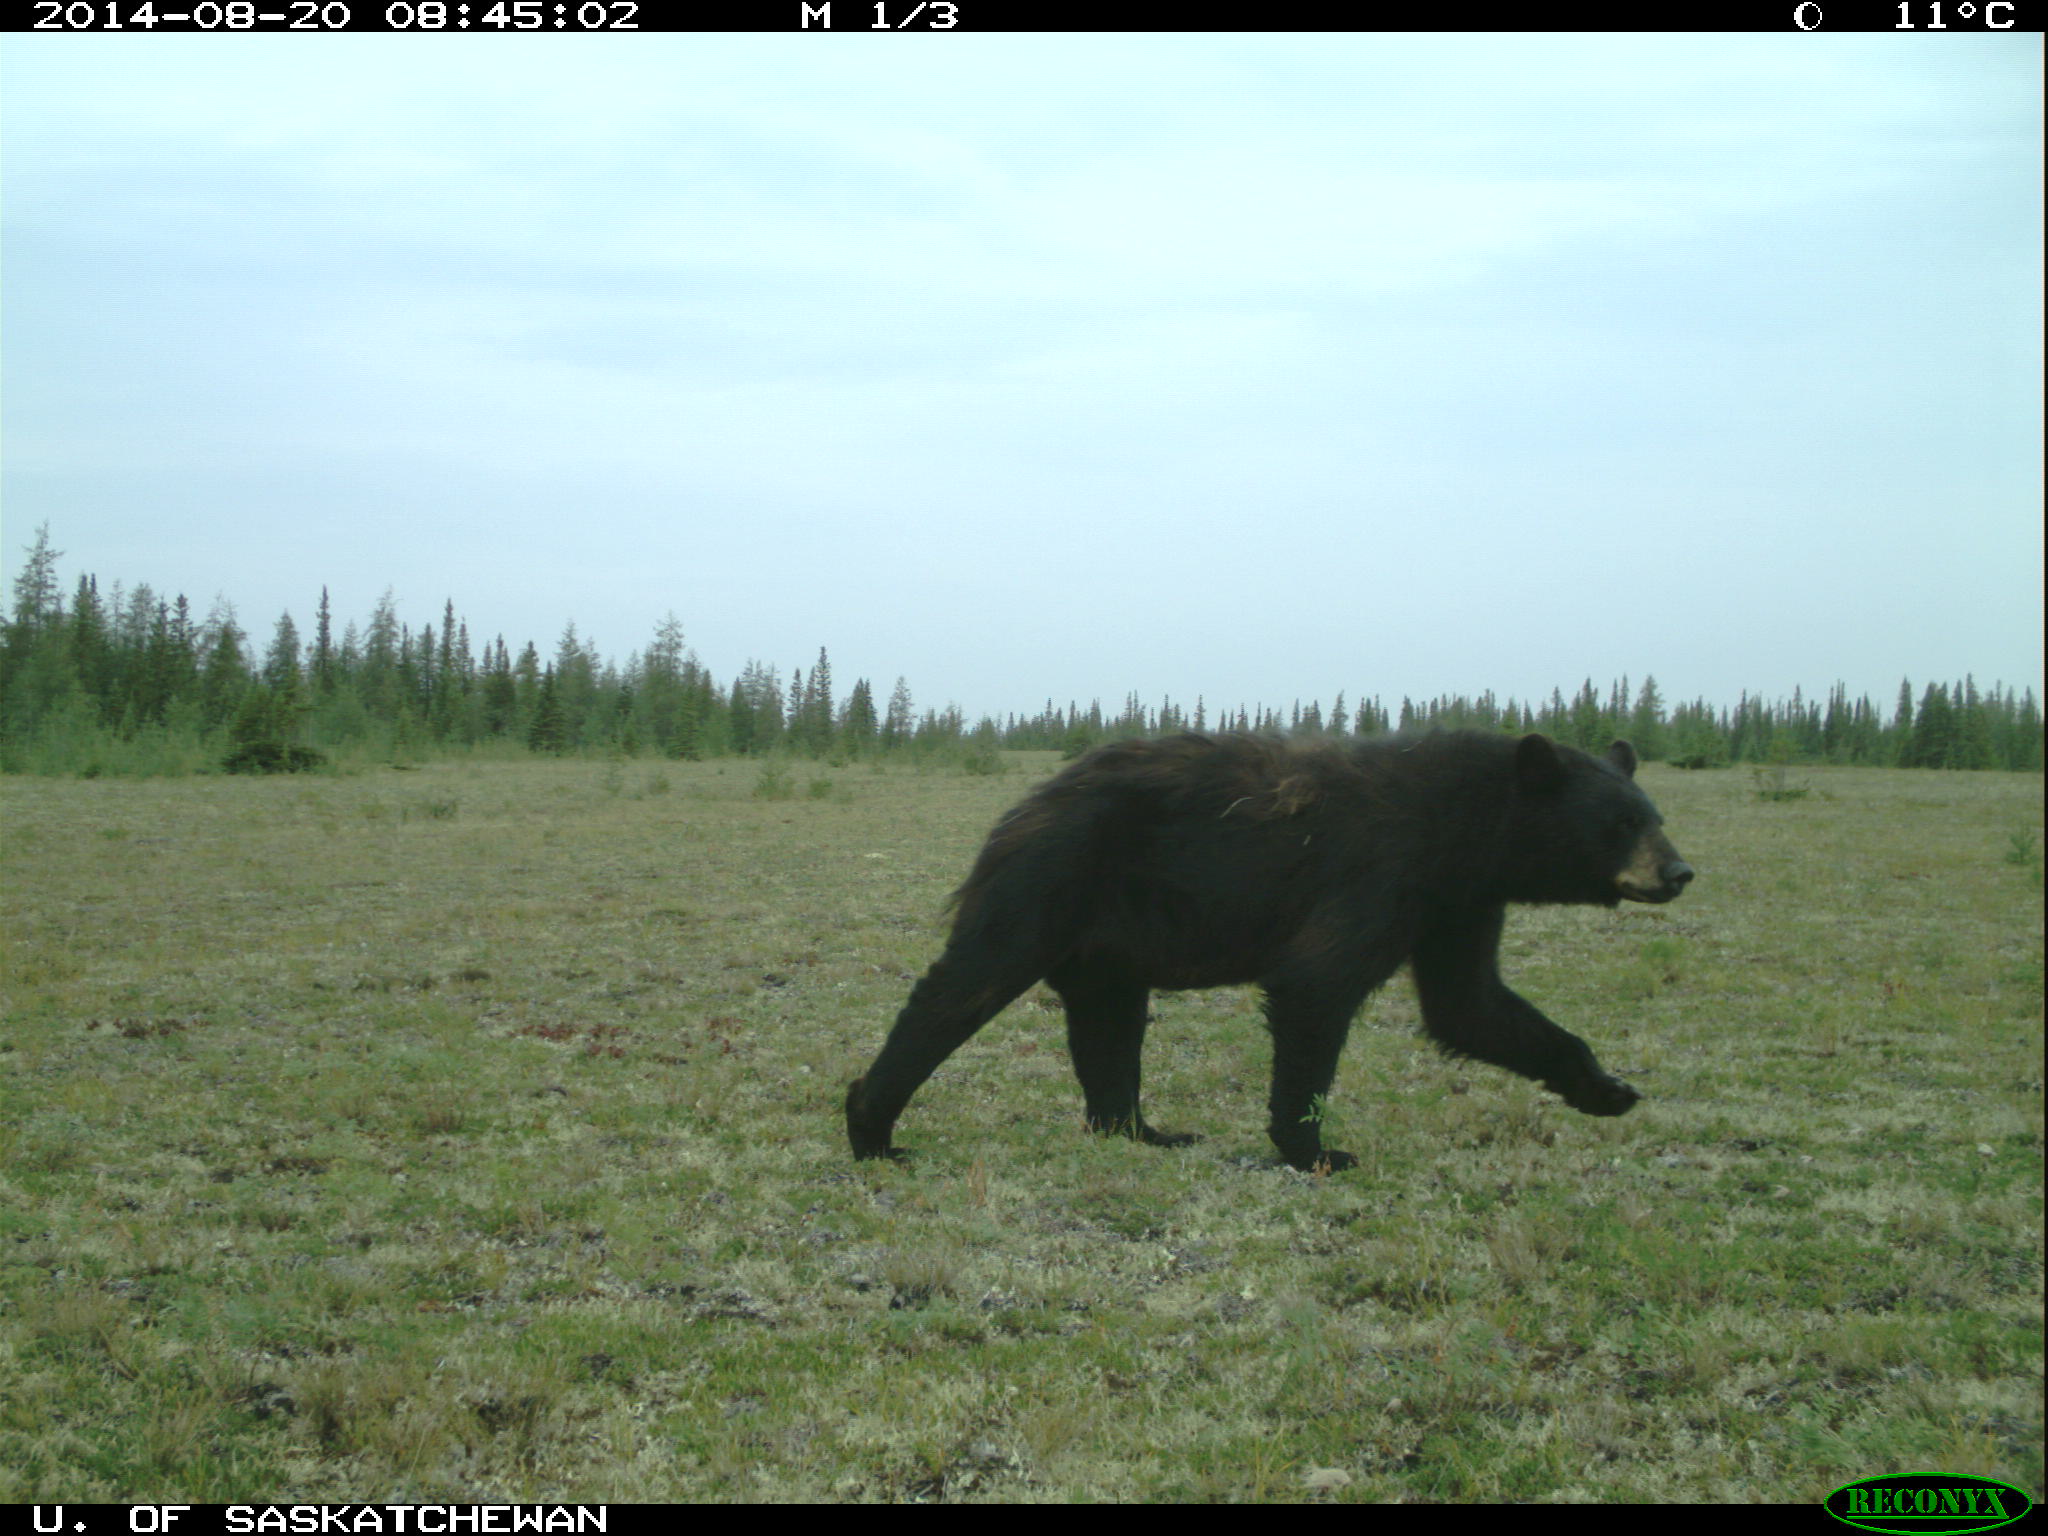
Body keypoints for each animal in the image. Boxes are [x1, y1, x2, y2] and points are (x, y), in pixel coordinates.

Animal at [847, 729, 1695, 1171]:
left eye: (1655, 815)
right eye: (1621, 822)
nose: (1679, 872)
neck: (1462, 831)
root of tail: (1022, 805)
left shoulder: (1457, 903)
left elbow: (1471, 1005)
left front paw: (1607, 1088)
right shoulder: (1377, 872)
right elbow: (1317, 986)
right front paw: (1314, 1148)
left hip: (1109, 941)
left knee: (1109, 1025)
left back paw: (1144, 1130)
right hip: (1047, 883)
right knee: (965, 984)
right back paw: (872, 1128)